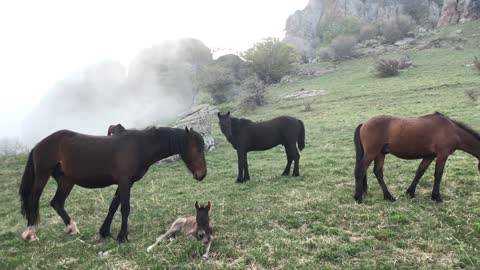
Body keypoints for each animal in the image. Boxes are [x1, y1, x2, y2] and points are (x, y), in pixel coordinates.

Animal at [19, 126, 206, 243]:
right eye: (197, 149)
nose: (202, 175)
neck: (139, 146)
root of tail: (38, 145)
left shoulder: (126, 183)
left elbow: (113, 205)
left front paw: (105, 232)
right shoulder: (124, 182)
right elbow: (124, 208)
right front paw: (122, 237)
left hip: (66, 181)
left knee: (57, 203)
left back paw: (71, 228)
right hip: (42, 177)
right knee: (33, 201)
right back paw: (30, 234)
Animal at [352, 112, 480, 202]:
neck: (452, 130)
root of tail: (364, 123)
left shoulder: (429, 156)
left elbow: (420, 172)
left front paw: (410, 193)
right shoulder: (442, 154)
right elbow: (438, 174)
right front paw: (437, 197)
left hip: (380, 153)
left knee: (377, 172)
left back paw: (388, 197)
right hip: (372, 152)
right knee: (361, 170)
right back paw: (359, 198)